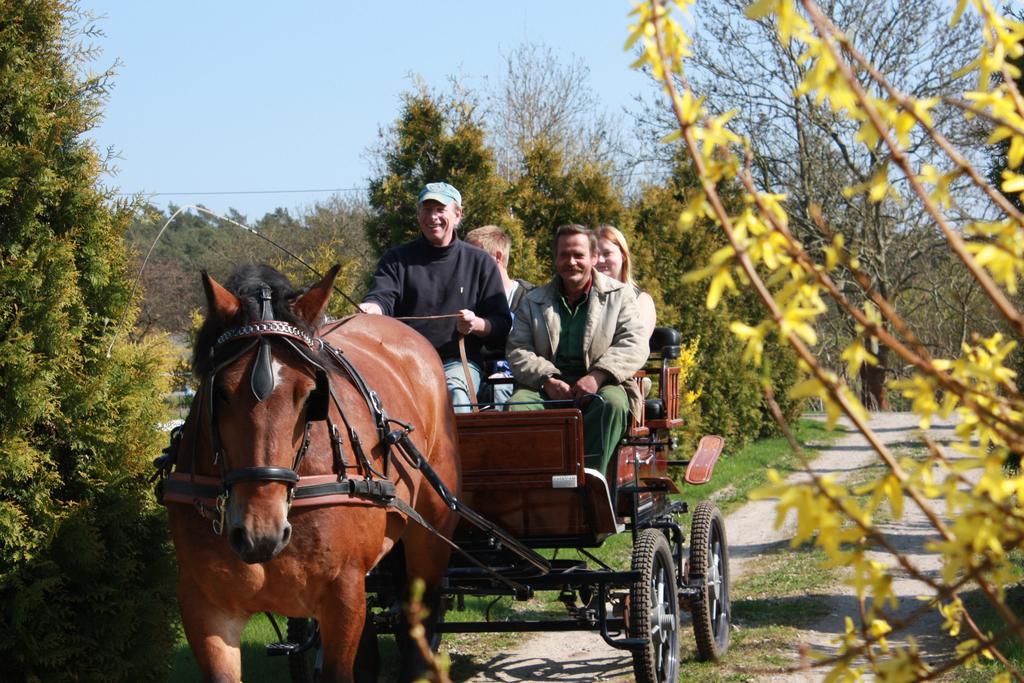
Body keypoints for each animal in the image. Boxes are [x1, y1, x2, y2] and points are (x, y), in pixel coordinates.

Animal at [159, 264, 460, 679]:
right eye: (220, 392)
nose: (260, 532)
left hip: (432, 532)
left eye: (309, 396)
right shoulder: (204, 603)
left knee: (419, 617)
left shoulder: (343, 594)